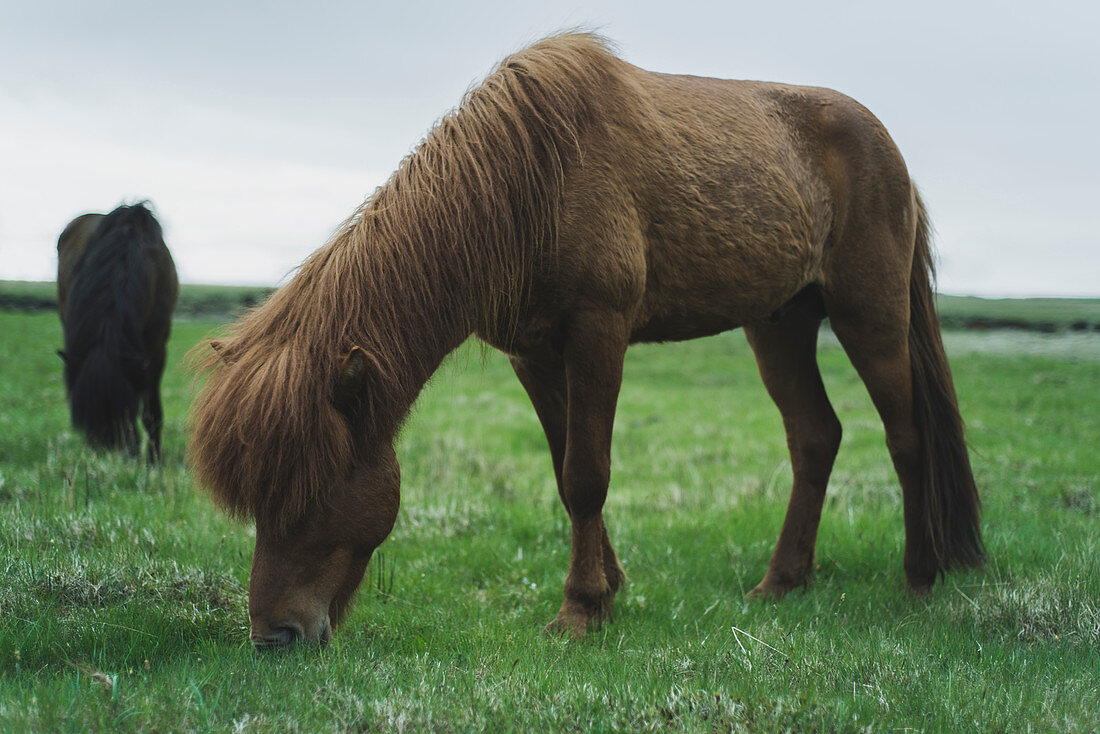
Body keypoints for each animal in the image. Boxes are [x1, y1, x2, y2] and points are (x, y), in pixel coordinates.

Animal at [187, 33, 981, 647]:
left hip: (869, 315)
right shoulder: (535, 355)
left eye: (311, 489)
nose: (275, 637)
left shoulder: (598, 333)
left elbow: (586, 474)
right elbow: (562, 466)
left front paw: (580, 611)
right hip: (778, 323)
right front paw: (609, 586)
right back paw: (781, 583)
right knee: (816, 438)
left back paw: (919, 579)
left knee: (906, 437)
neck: (531, 182)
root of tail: (888, 149)